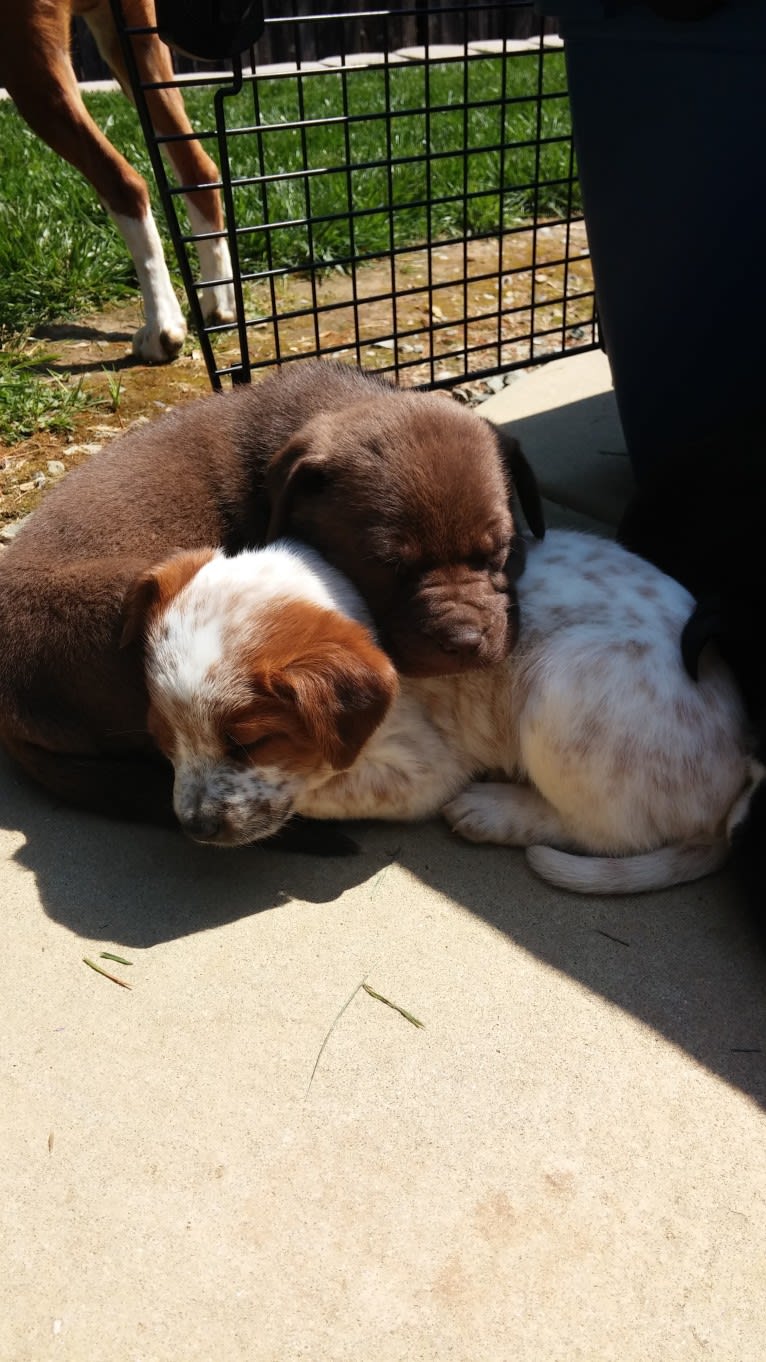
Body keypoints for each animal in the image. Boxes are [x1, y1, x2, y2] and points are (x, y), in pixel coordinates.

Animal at [121, 528, 752, 893]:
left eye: (249, 743)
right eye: (164, 740)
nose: (193, 828)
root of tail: (730, 799)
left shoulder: (424, 772)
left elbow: (318, 789)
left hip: (561, 688)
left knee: (606, 832)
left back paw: (493, 811)